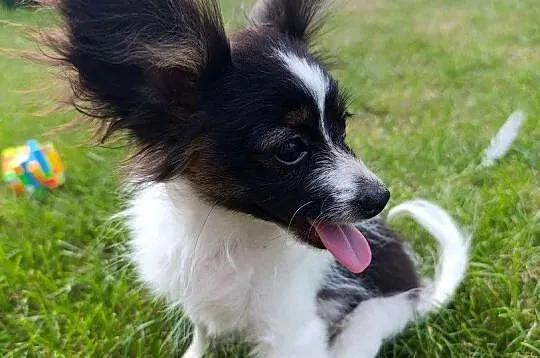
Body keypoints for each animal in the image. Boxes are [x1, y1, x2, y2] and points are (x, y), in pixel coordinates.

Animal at [46, 0, 468, 356]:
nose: (380, 198)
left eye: (342, 127)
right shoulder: (201, 304)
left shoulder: (294, 333)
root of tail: (418, 293)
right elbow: (201, 337)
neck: (231, 232)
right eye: (290, 149)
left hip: (368, 323)